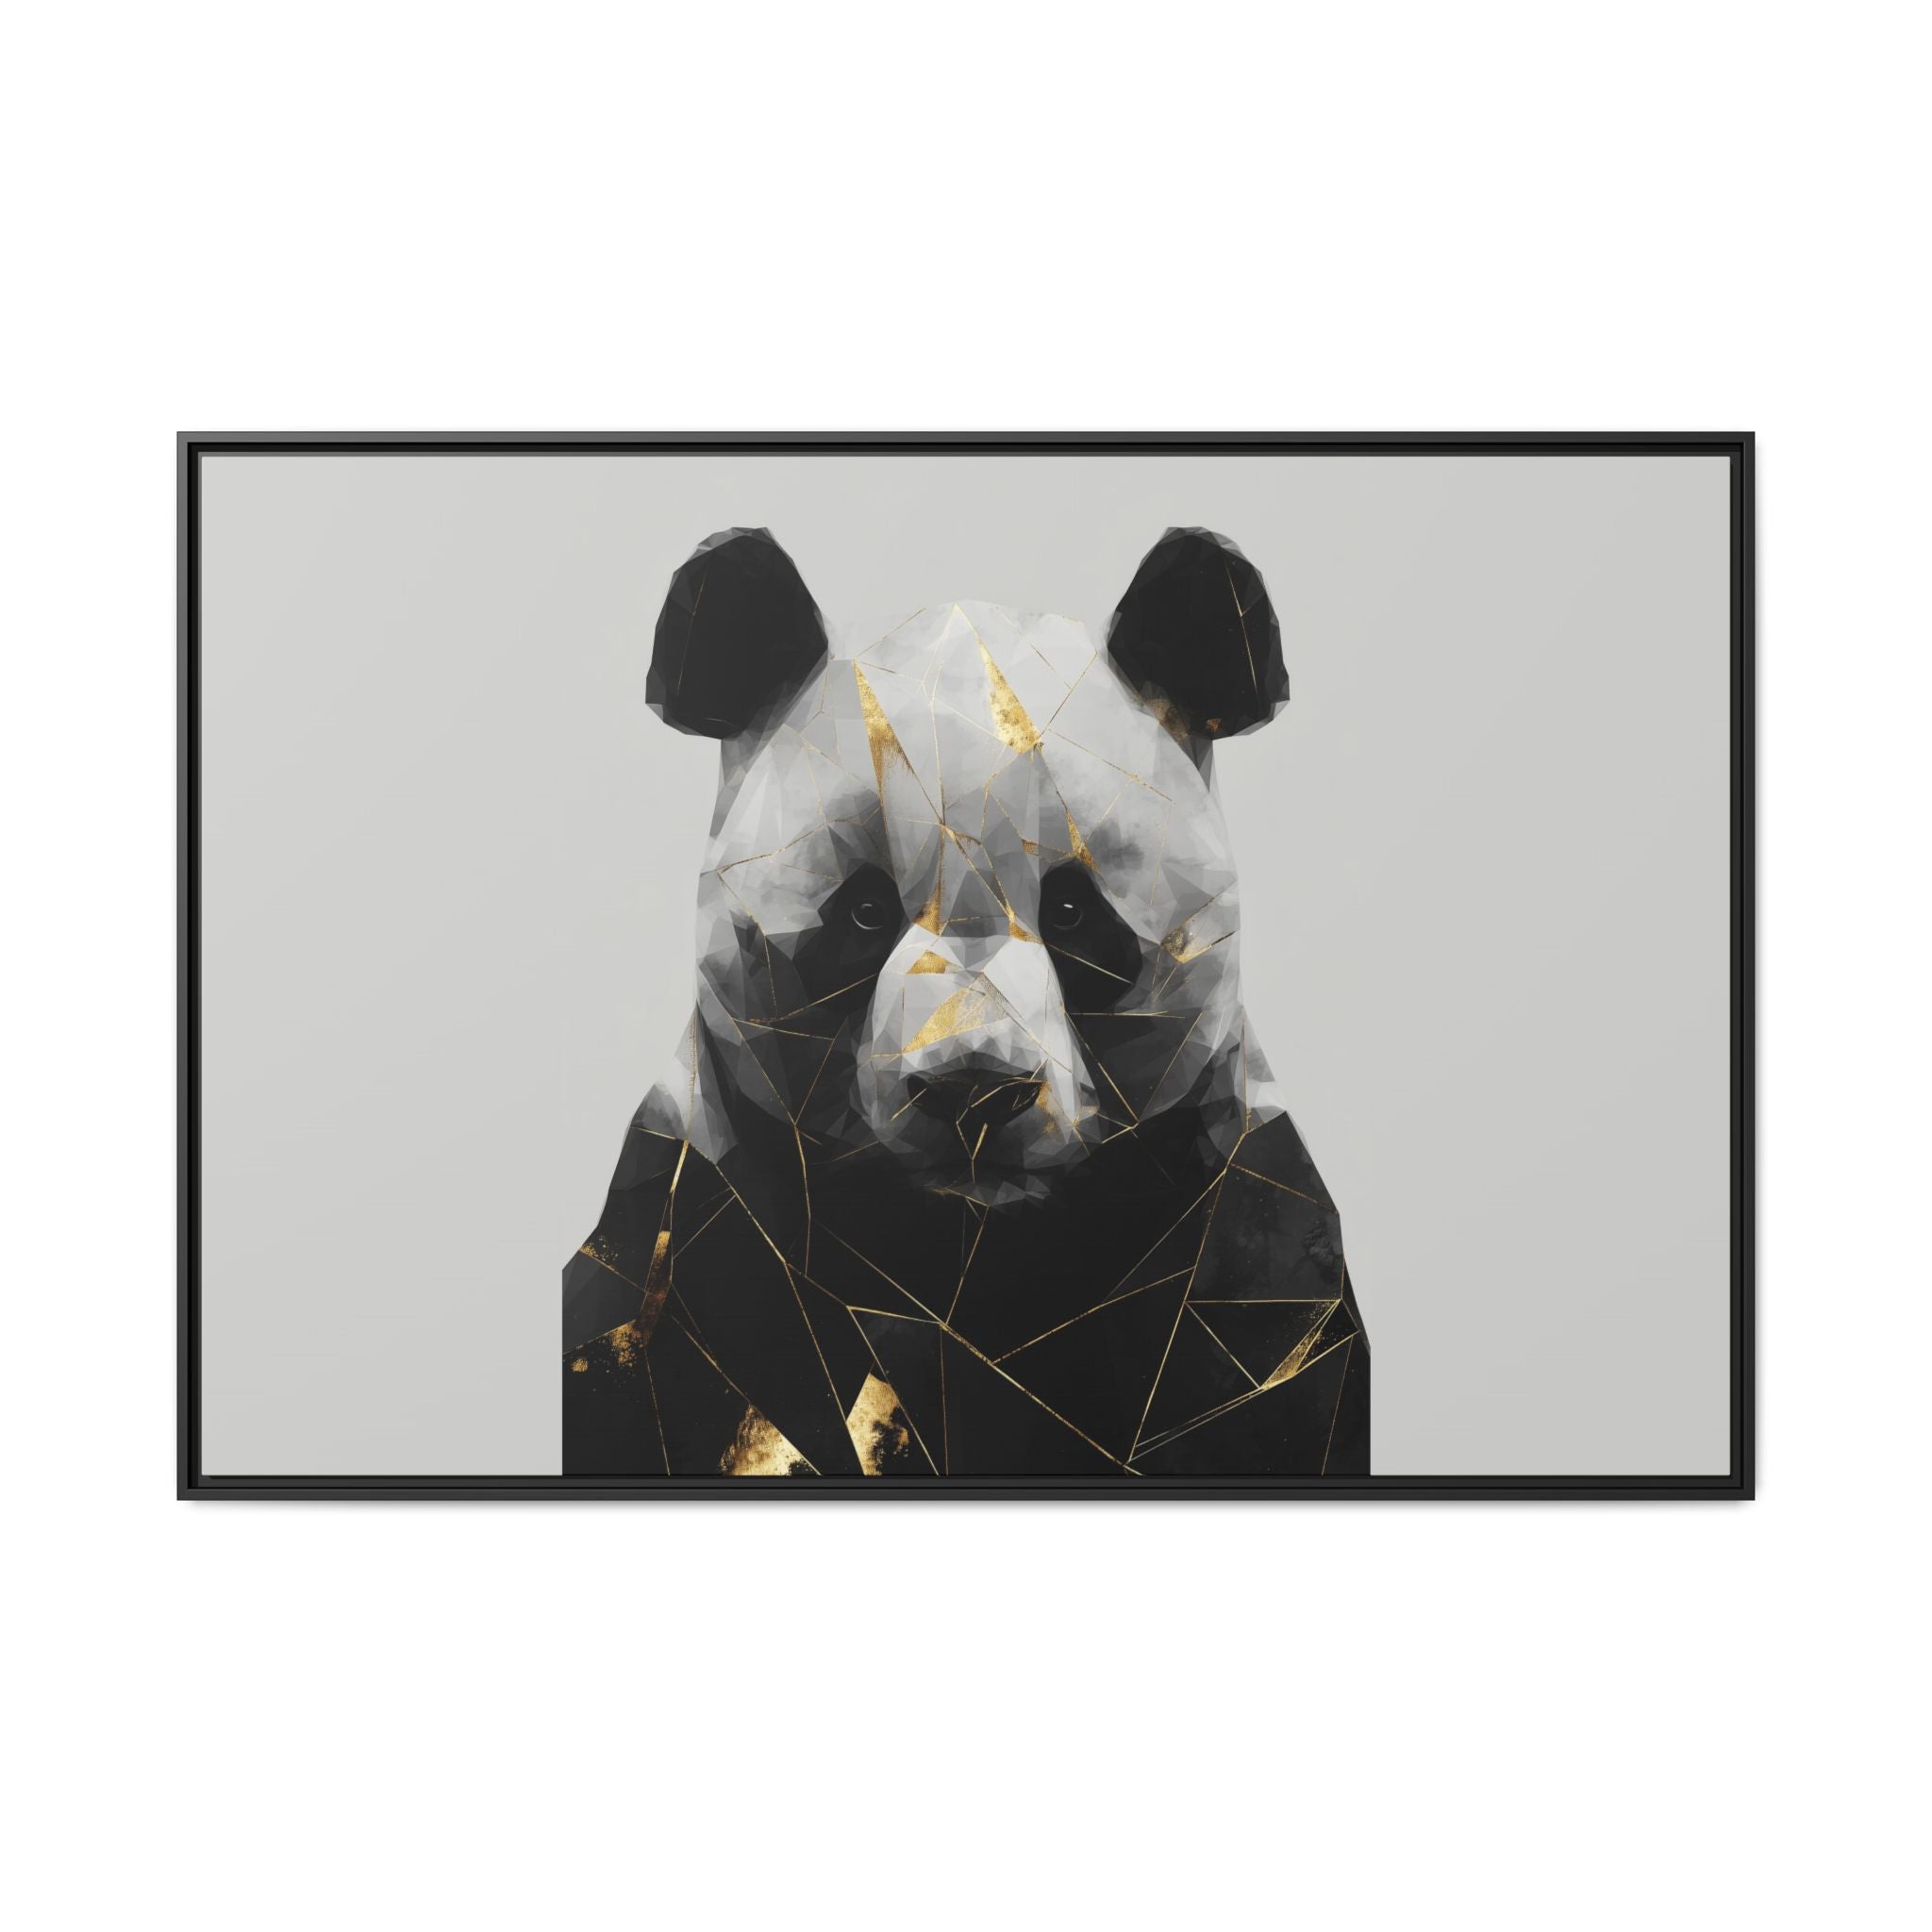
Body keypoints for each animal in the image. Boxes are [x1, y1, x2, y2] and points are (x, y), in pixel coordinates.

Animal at [562, 526, 1368, 1478]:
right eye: (864, 911)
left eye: (1074, 912)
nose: (974, 1091)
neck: (967, 1264)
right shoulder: (692, 1236)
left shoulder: (1245, 1253)